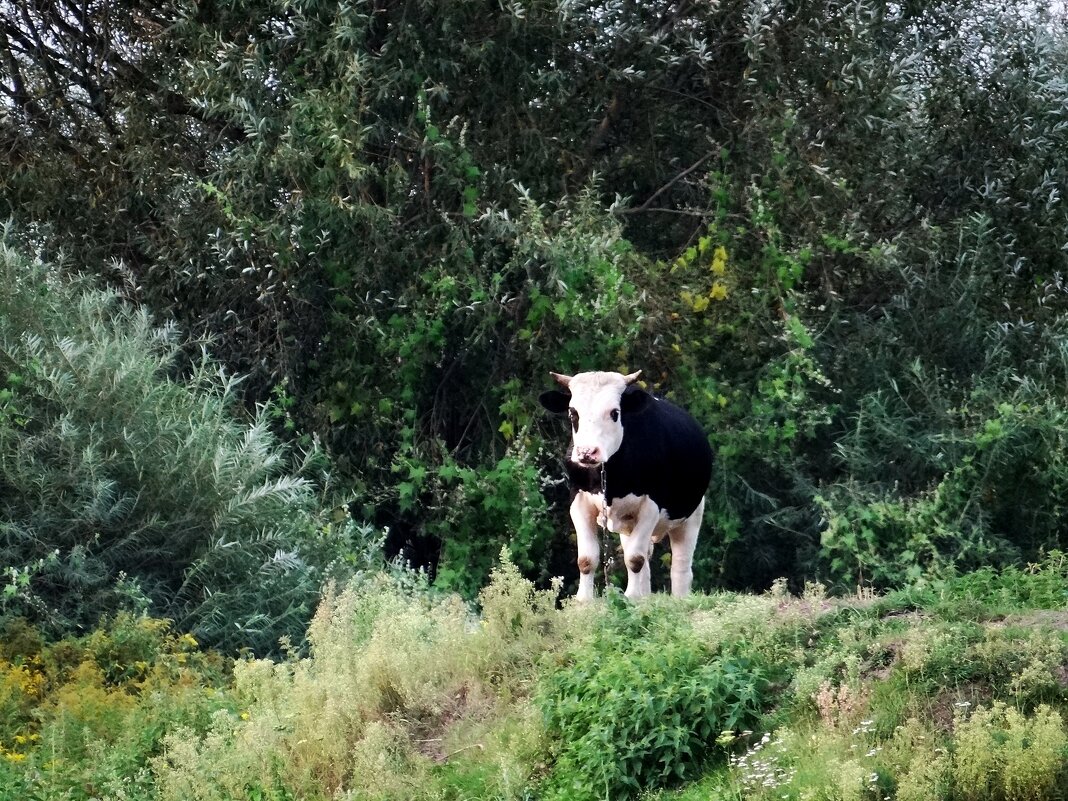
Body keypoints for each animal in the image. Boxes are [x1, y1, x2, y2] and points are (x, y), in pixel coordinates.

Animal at [538, 371, 713, 602]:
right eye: (573, 413)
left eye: (615, 412)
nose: (587, 452)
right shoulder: (578, 500)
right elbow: (587, 558)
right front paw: (584, 600)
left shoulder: (651, 504)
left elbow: (634, 558)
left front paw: (631, 596)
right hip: (628, 524)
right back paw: (644, 597)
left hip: (691, 515)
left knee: (681, 565)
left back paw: (678, 598)